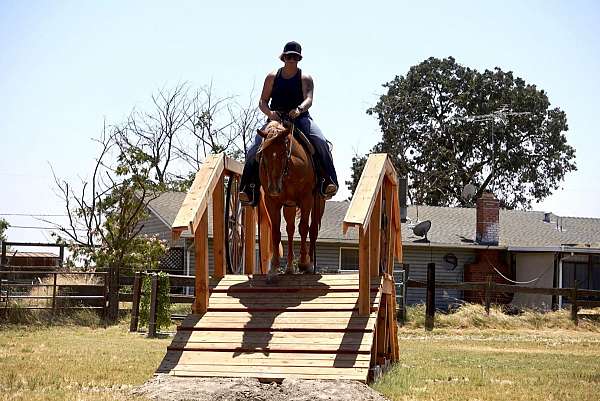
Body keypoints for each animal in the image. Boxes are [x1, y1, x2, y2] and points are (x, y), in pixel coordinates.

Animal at [255, 120, 326, 280]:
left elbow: (304, 228)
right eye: (263, 154)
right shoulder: (272, 202)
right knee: (290, 229)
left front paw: (303, 263)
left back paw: (309, 264)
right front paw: (274, 269)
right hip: (289, 206)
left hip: (318, 203)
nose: (274, 188)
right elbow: (276, 231)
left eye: (284, 153)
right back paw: (288, 268)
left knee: (313, 229)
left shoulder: (306, 199)